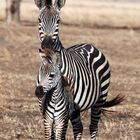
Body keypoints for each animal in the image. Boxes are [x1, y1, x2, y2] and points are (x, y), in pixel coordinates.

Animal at [34, 0, 124, 139]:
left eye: (58, 21)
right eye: (39, 20)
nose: (47, 45)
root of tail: (89, 45)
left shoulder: (66, 109)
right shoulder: (44, 108)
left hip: (99, 99)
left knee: (93, 127)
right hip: (76, 110)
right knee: (78, 128)